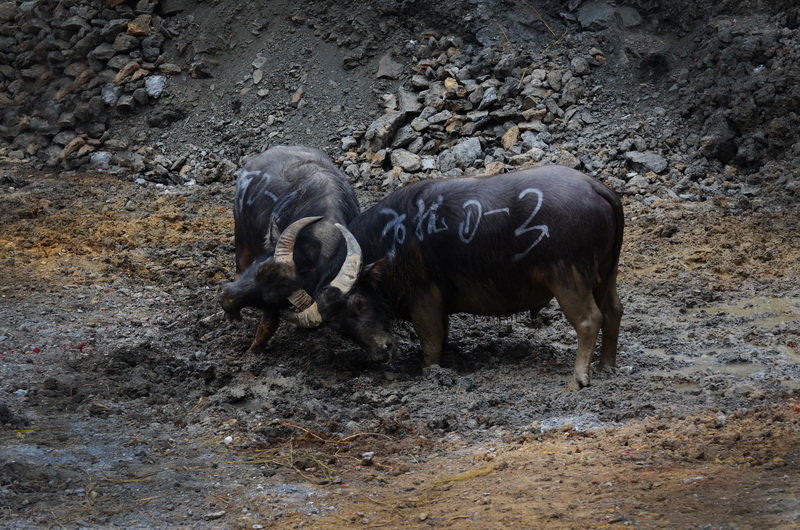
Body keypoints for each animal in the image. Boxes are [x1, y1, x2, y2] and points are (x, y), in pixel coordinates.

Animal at [216, 145, 360, 350]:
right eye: (260, 269)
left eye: (271, 300)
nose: (225, 300)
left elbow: (269, 324)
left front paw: (254, 349)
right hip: (240, 232)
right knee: (239, 266)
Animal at [282, 165, 624, 388]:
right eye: (339, 328)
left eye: (358, 303)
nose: (382, 351)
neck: (394, 241)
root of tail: (596, 187)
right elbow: (441, 338)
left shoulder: (424, 299)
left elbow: (432, 343)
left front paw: (431, 372)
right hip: (604, 276)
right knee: (613, 312)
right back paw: (607, 365)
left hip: (568, 277)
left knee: (589, 319)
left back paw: (580, 378)